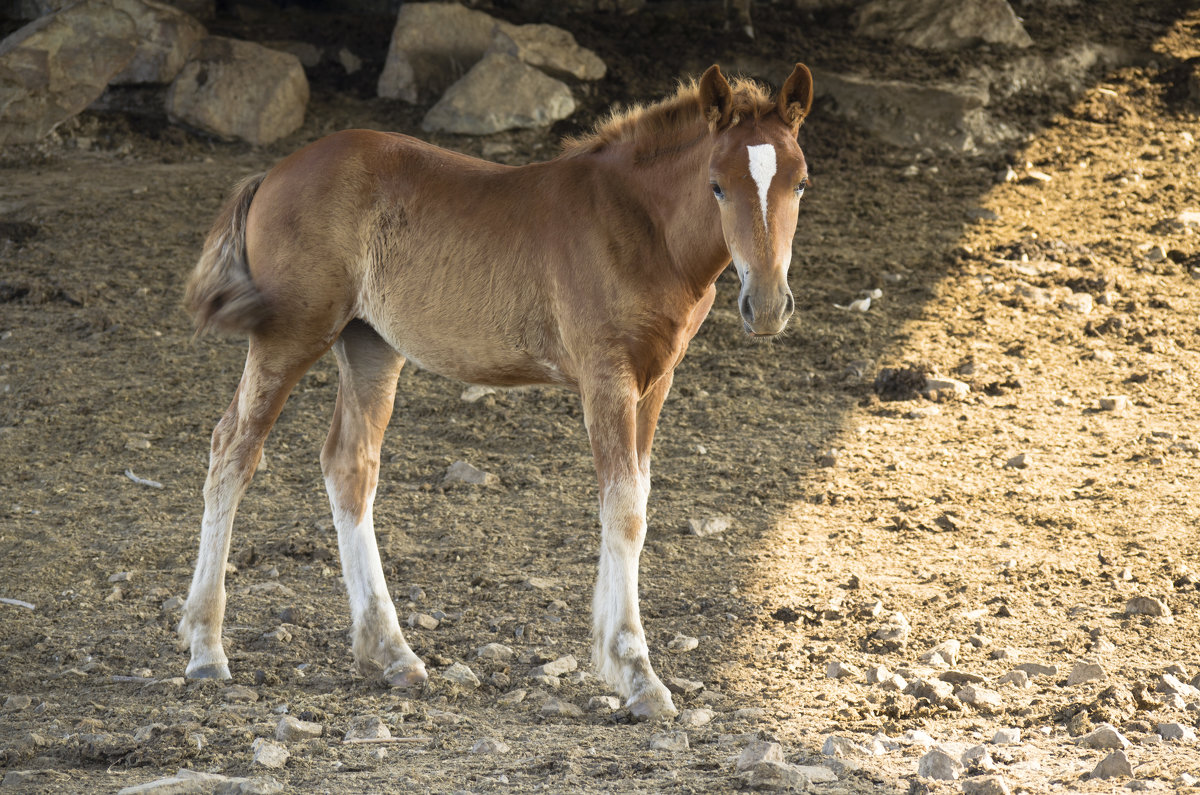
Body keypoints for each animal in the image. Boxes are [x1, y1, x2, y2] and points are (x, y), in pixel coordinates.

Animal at [180, 63, 816, 720]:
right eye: (716, 185)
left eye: (800, 183)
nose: (768, 305)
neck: (639, 225)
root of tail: (274, 172)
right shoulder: (605, 376)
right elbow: (623, 509)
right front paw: (637, 673)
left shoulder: (657, 378)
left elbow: (636, 501)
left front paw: (616, 661)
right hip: (289, 334)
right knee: (233, 448)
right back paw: (206, 650)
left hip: (370, 344)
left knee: (349, 465)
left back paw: (392, 654)